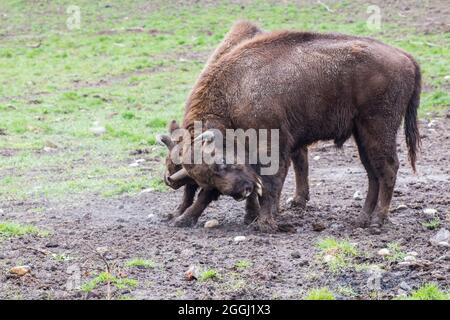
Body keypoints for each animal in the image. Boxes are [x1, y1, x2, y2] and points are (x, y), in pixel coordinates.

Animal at [156, 21, 420, 234]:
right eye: (203, 176)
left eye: (222, 163)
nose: (242, 191)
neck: (234, 95)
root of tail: (406, 57)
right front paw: (184, 218)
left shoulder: (273, 145)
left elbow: (272, 182)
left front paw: (265, 223)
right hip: (362, 134)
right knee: (372, 173)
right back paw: (362, 219)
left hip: (378, 127)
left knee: (388, 168)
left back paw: (377, 221)